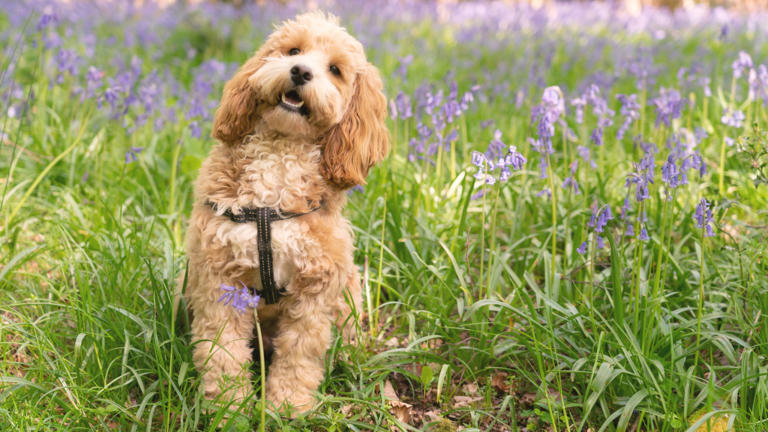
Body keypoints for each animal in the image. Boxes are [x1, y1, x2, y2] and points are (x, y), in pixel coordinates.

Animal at [184, 11, 390, 414]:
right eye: (293, 50)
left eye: (335, 70)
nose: (300, 71)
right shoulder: (219, 276)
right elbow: (222, 350)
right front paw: (229, 407)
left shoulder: (316, 285)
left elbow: (300, 353)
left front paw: (285, 407)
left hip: (348, 294)